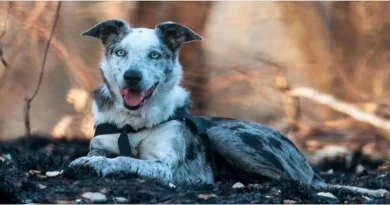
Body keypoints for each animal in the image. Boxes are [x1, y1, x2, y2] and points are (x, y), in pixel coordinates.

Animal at [68, 19, 388, 197]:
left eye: (155, 55)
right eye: (120, 52)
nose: (132, 77)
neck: (133, 121)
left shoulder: (164, 166)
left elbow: (125, 160)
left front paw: (101, 165)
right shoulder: (102, 142)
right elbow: (101, 153)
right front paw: (92, 161)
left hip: (226, 136)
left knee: (298, 182)